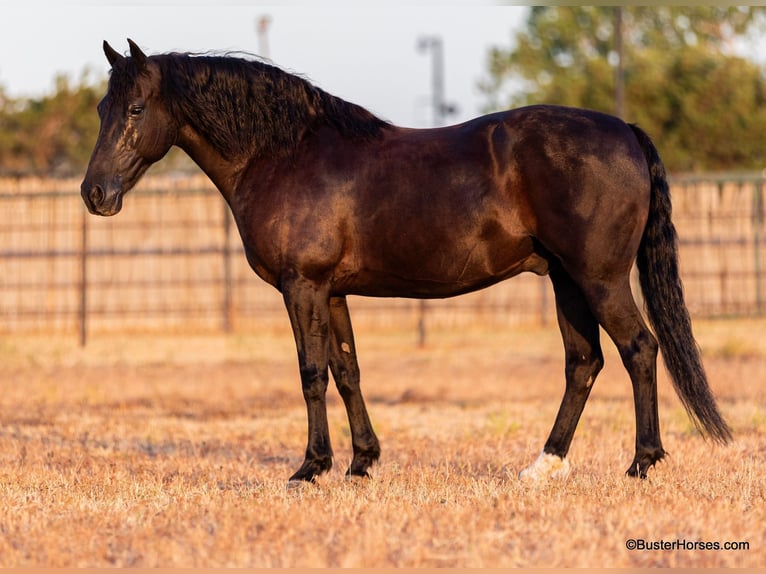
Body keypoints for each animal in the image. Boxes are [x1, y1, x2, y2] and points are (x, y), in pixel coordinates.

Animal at [79, 38, 732, 484]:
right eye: (101, 109)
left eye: (135, 109)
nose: (95, 193)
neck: (284, 154)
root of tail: (624, 128)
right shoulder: (332, 291)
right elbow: (347, 371)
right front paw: (361, 462)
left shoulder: (302, 286)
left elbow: (311, 373)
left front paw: (311, 467)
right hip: (567, 282)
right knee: (584, 363)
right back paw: (543, 466)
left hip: (600, 279)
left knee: (638, 350)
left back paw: (642, 462)